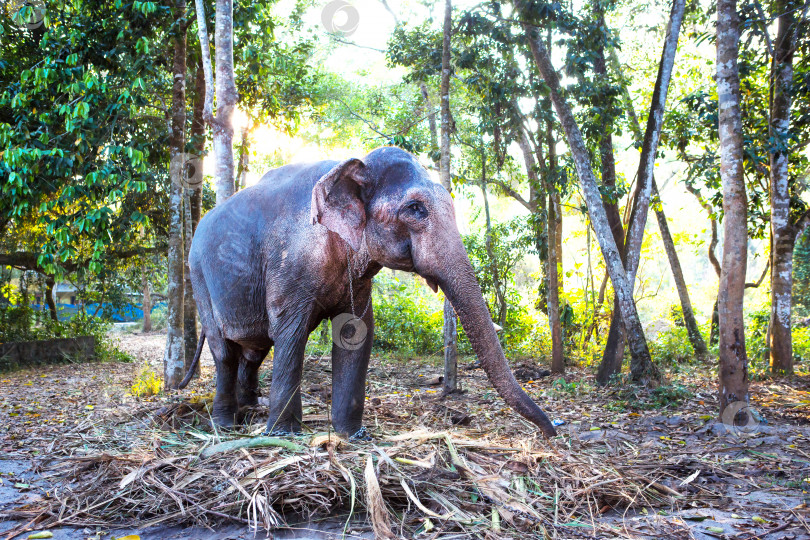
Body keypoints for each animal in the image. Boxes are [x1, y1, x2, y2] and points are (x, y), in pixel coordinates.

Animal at [177, 147, 556, 438]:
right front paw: (282, 435)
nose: (551, 433)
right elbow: (290, 334)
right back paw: (226, 424)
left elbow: (355, 333)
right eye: (415, 209)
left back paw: (249, 410)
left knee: (254, 351)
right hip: (198, 277)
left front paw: (353, 435)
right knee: (224, 349)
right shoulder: (290, 265)